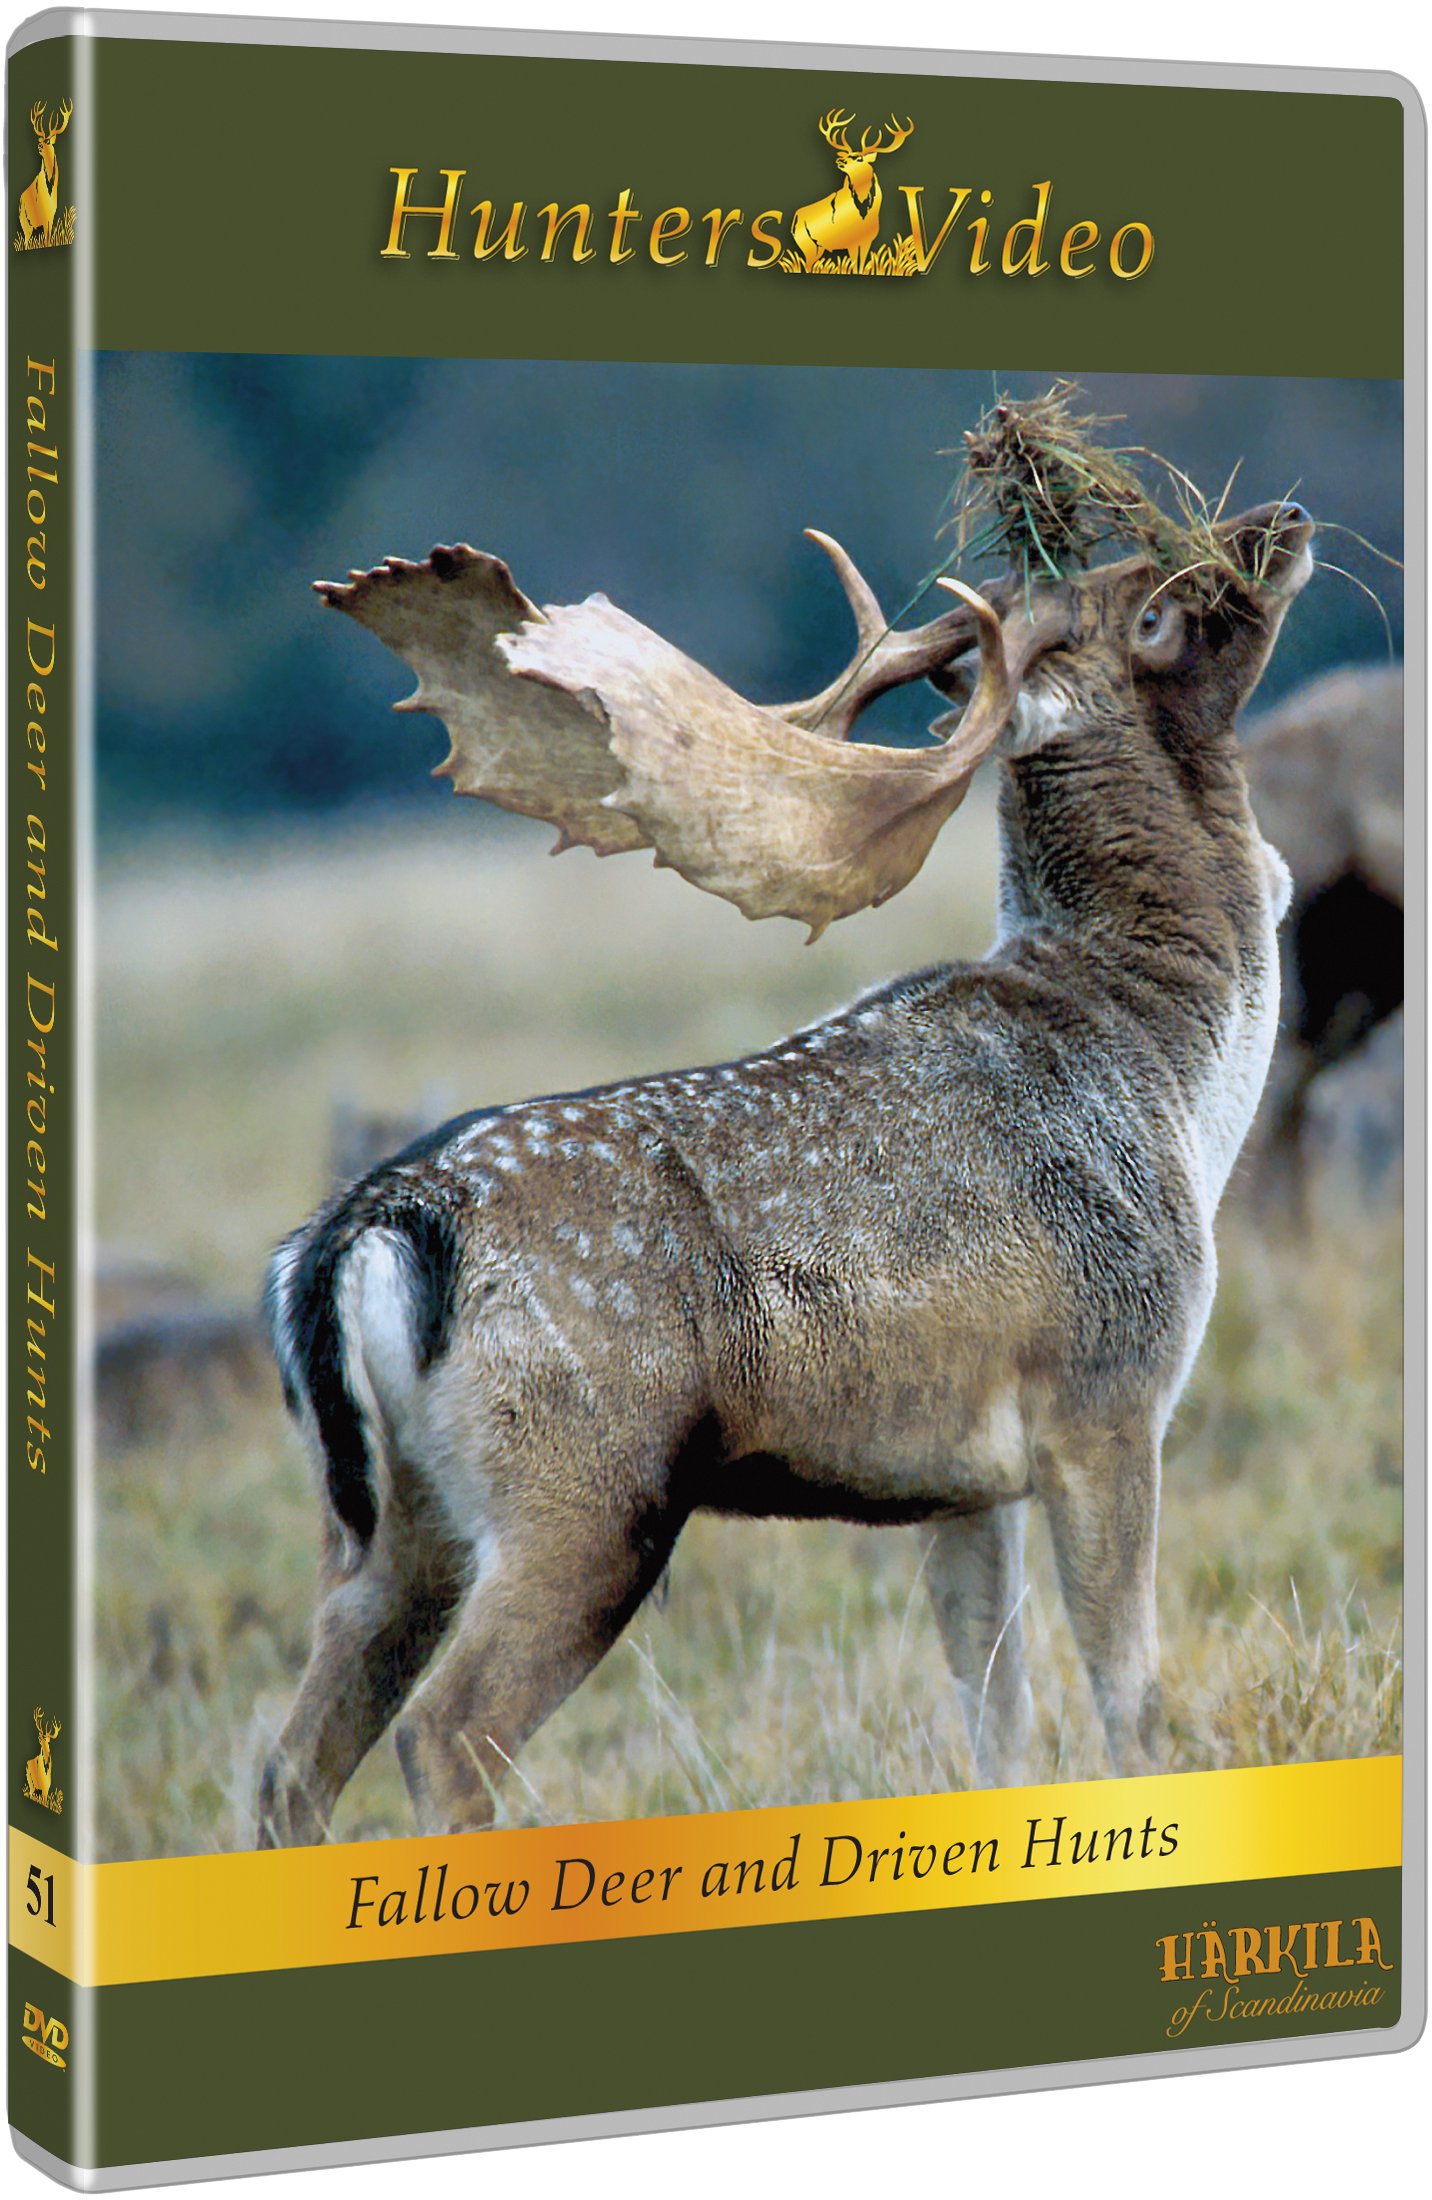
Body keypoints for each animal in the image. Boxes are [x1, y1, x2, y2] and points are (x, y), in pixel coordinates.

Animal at [17, 100, 71, 247]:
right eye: (40, 140)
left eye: (47, 141)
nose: (39, 146)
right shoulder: (44, 217)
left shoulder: (50, 218)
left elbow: (48, 240)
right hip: (25, 223)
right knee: (26, 241)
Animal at [256, 493, 1312, 1847]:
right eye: (1152, 610)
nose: (1278, 518)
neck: (1175, 1080)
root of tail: (367, 1227)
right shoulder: (1107, 1392)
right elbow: (1133, 1703)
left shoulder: (963, 1482)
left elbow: (1000, 1726)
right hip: (585, 1491)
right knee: (447, 1734)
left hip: (386, 1525)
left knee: (292, 1760)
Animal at [792, 110, 913, 272]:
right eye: (847, 155)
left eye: (859, 158)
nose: (840, 161)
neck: (863, 213)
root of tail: (794, 219)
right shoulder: (850, 241)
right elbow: (855, 265)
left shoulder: (866, 240)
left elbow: (860, 266)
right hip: (807, 244)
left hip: (818, 248)